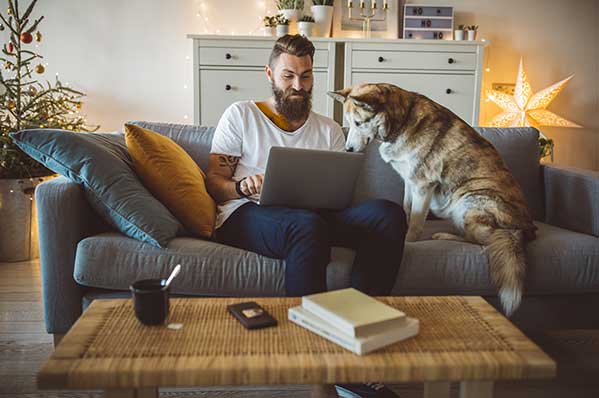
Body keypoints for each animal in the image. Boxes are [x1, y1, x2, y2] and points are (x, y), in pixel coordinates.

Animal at [330, 84, 536, 318]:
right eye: (348, 123)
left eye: (358, 123)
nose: (347, 150)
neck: (401, 121)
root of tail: (523, 229)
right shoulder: (409, 182)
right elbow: (406, 209)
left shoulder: (422, 185)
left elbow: (416, 222)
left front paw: (408, 240)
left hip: (468, 201)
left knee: (482, 241)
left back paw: (445, 235)